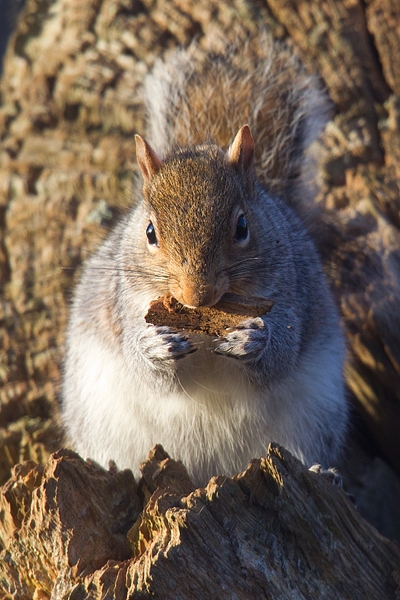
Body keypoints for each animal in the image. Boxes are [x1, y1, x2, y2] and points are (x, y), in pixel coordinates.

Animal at [61, 32, 346, 486]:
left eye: (243, 226)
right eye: (150, 232)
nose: (198, 295)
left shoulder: (291, 293)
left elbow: (281, 353)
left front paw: (252, 340)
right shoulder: (127, 302)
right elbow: (144, 366)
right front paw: (155, 347)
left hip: (313, 415)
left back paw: (321, 470)